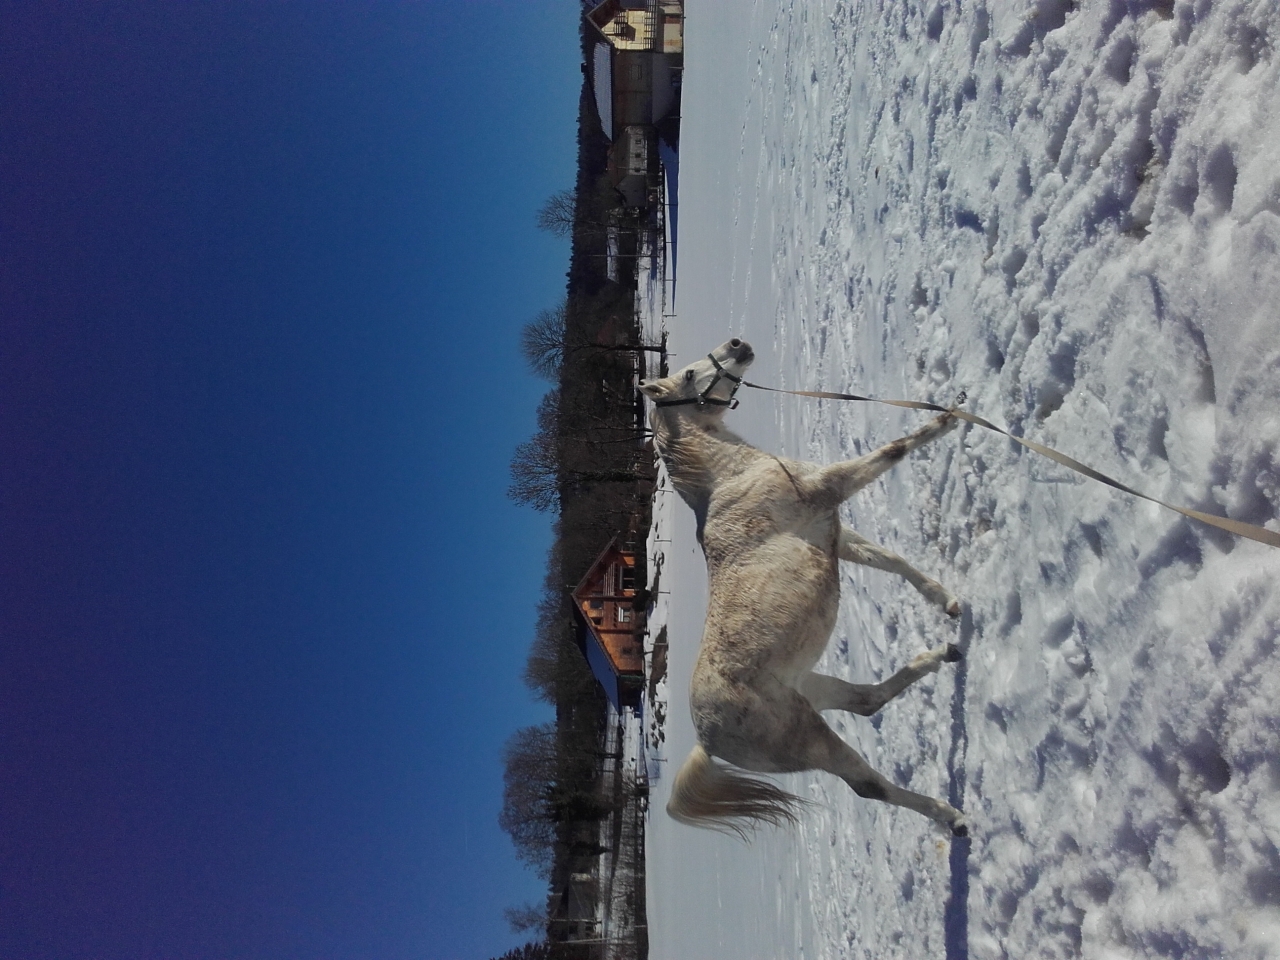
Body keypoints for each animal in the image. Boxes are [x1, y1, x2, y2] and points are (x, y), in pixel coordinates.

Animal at [640, 338, 968, 837]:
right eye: (691, 375)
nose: (738, 344)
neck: (731, 475)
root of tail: (707, 740)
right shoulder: (828, 490)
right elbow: (894, 450)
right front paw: (949, 417)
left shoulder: (833, 532)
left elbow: (890, 561)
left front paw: (947, 601)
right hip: (808, 736)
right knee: (868, 784)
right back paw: (953, 817)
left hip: (810, 689)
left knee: (865, 701)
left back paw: (945, 653)